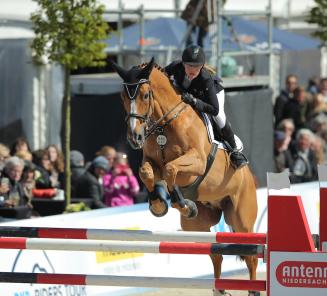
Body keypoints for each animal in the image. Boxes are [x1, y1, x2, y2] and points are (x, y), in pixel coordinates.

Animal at [111, 58, 260, 296]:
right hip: (196, 226)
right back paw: (219, 290)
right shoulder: (151, 161)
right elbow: (147, 172)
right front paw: (158, 203)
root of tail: (250, 177)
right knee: (215, 252)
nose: (135, 138)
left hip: (241, 220)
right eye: (122, 96)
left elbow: (171, 169)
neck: (165, 124)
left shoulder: (197, 162)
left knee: (251, 256)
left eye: (145, 95)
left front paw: (180, 202)